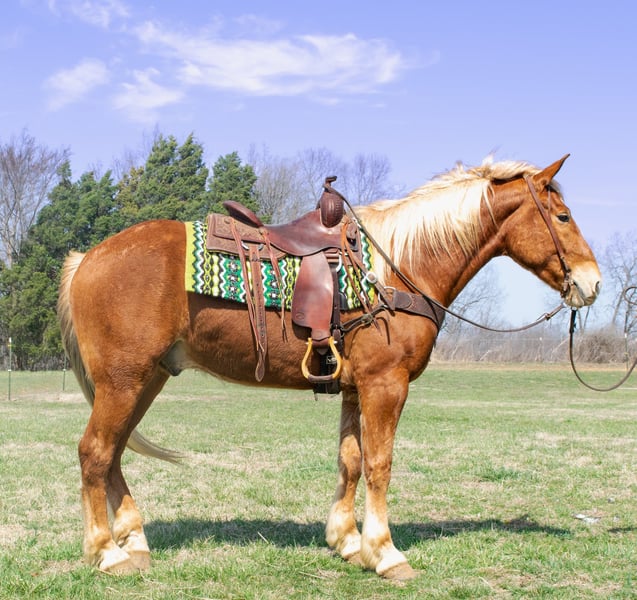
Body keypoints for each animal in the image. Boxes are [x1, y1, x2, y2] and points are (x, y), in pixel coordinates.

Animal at [57, 154, 601, 580]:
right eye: (563, 215)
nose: (591, 283)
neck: (397, 267)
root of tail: (89, 258)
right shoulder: (386, 386)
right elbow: (380, 464)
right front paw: (385, 552)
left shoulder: (355, 388)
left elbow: (351, 461)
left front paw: (348, 542)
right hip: (124, 381)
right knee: (95, 453)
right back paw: (107, 553)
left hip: (144, 380)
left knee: (113, 454)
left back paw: (134, 541)